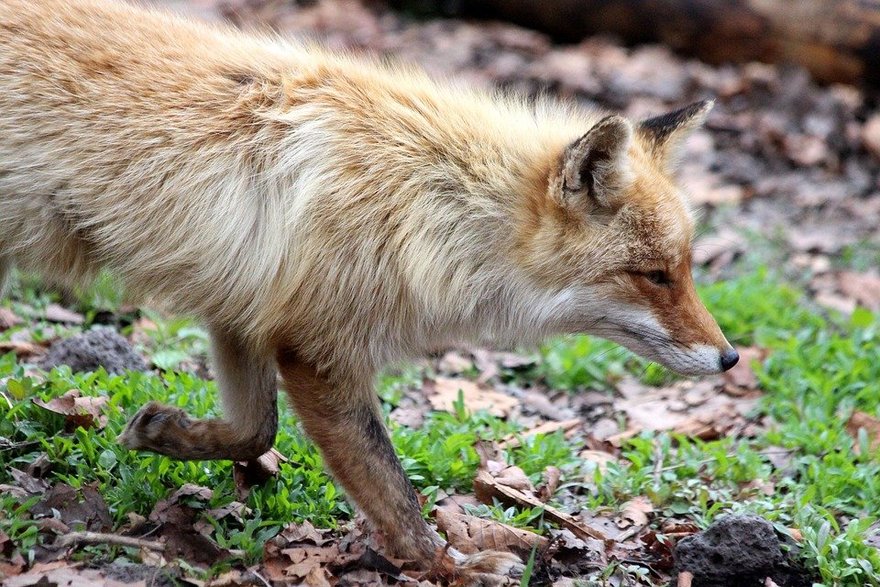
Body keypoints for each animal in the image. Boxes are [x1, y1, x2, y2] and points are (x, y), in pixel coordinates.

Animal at [0, 0, 736, 580]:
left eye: (686, 268)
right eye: (654, 275)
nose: (730, 358)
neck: (424, 202)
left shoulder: (247, 308)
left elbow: (253, 428)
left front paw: (167, 434)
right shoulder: (318, 347)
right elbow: (392, 490)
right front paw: (444, 565)